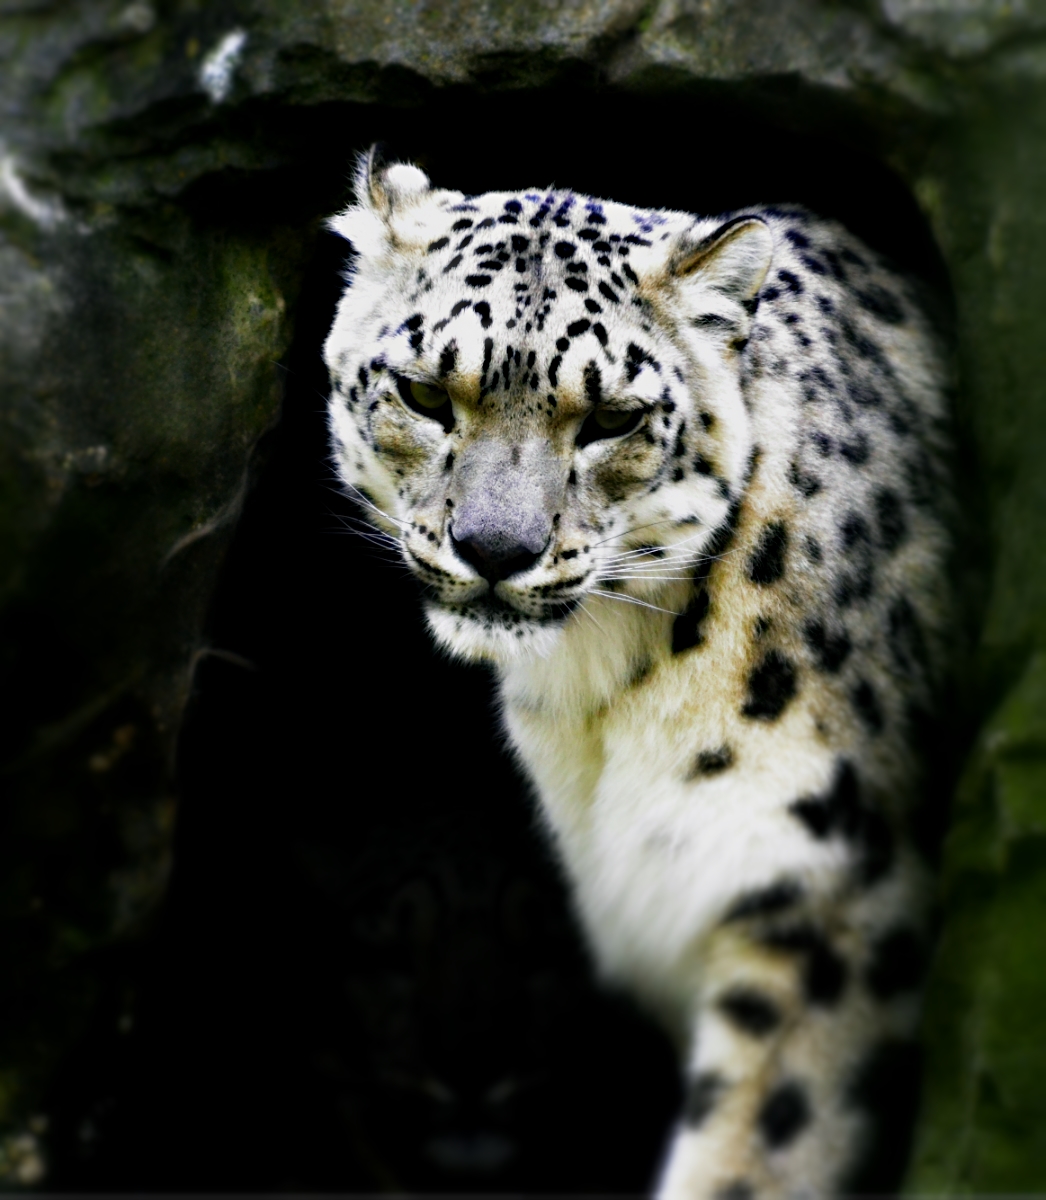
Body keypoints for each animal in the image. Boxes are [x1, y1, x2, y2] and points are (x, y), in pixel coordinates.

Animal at [322, 147, 952, 1199]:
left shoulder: (821, 892)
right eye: (423, 394)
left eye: (611, 419)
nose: (496, 549)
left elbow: (756, 1147)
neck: (602, 698)